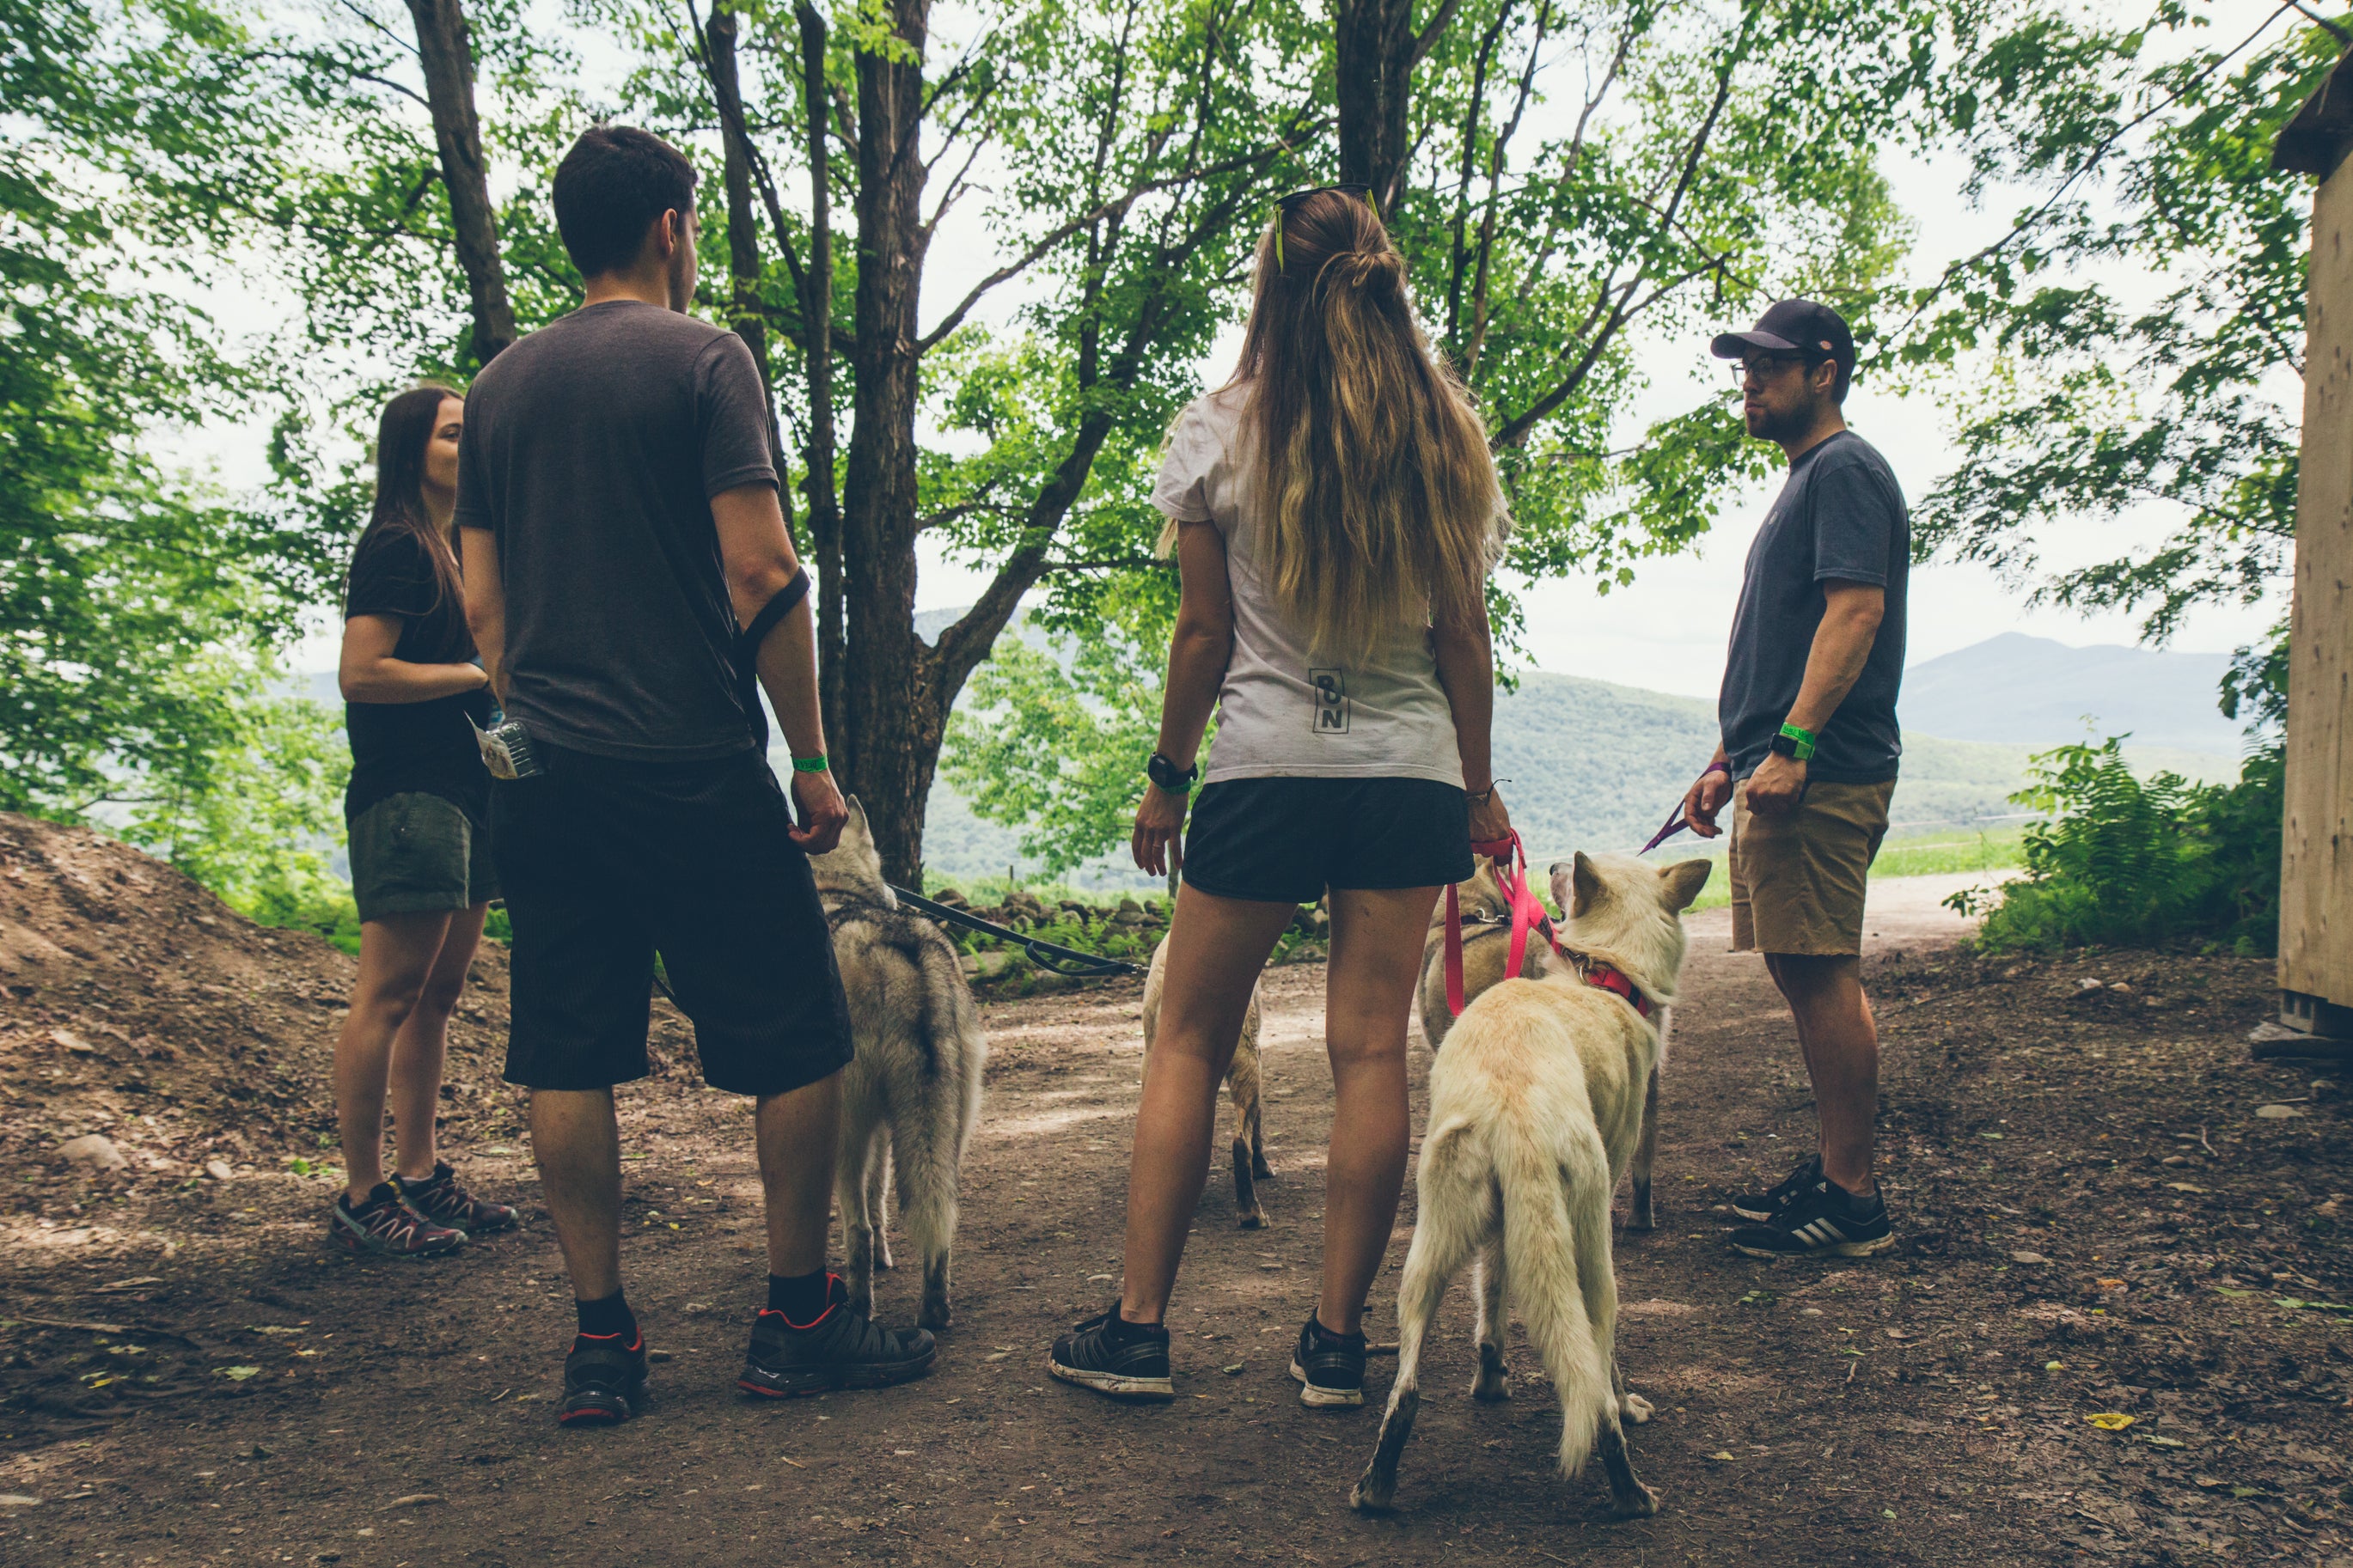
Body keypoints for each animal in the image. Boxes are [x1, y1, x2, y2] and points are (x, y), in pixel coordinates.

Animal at [814, 803, 987, 1335]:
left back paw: (858, 1310)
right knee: (940, 1213)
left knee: (858, 1230)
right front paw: (888, 1261)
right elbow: (881, 1201)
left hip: (847, 1130)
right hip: (946, 1131)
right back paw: (934, 1313)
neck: (835, 894)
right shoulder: (885, 1131)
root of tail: (908, 954)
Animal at [1355, 860, 1722, 1523]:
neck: (1603, 976)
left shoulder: (1505, 1229)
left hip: (1424, 1260)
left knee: (1406, 1391)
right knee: (1596, 1379)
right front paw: (1629, 1405)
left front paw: (1490, 1379)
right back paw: (1630, 1488)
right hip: (1593, 1255)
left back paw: (1375, 1487)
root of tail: (1514, 1100)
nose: (1550, 864)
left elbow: (1493, 1291)